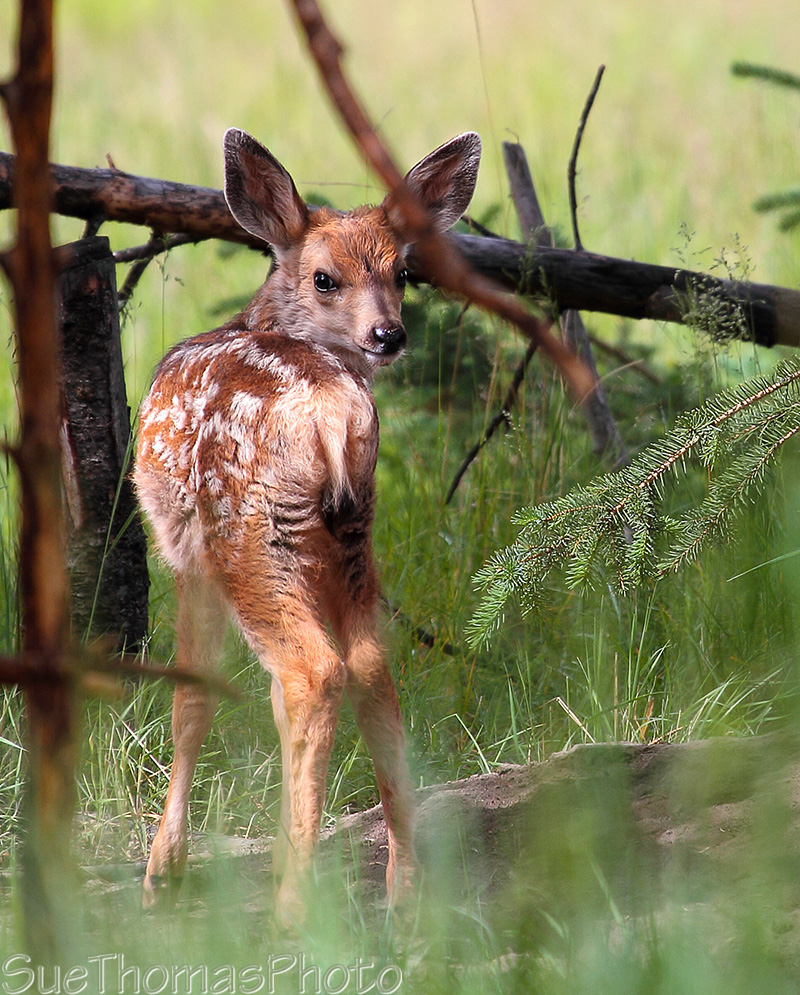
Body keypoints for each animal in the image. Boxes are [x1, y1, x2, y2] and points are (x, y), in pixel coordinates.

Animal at [133, 127, 482, 922]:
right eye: (327, 278)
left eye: (402, 272)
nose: (390, 333)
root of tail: (333, 416)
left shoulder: (186, 557)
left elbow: (193, 696)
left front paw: (163, 869)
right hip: (352, 535)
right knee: (369, 668)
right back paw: (404, 891)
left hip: (247, 534)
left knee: (313, 671)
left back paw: (291, 903)